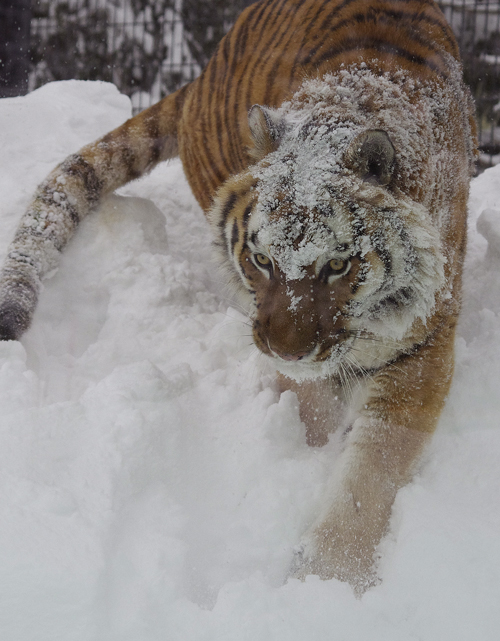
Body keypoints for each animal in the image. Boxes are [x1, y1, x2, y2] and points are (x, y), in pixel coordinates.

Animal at [0, 0, 476, 596]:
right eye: (263, 260)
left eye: (337, 265)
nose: (285, 351)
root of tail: (205, 72)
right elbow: (311, 408)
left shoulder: (422, 344)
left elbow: (372, 471)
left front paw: (326, 580)